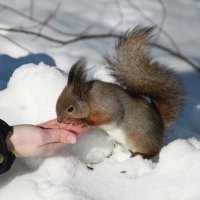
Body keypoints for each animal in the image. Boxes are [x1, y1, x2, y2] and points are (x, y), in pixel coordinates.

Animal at [55, 25, 184, 159]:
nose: (59, 120)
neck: (89, 99)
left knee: (153, 150)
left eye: (70, 109)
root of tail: (161, 128)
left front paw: (84, 120)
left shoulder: (107, 104)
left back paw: (141, 154)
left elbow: (108, 116)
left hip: (140, 137)